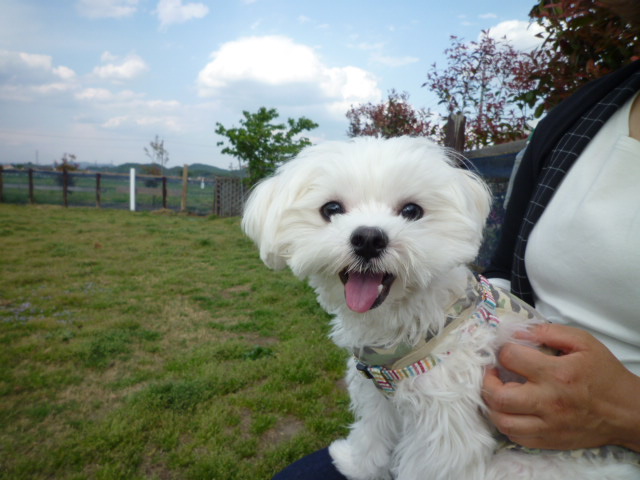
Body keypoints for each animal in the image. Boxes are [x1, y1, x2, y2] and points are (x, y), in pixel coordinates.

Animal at [241, 137, 639, 480]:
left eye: (411, 210)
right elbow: (372, 432)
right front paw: (356, 464)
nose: (368, 238)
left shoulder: (443, 423)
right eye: (331, 209)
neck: (404, 321)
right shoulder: (377, 392)